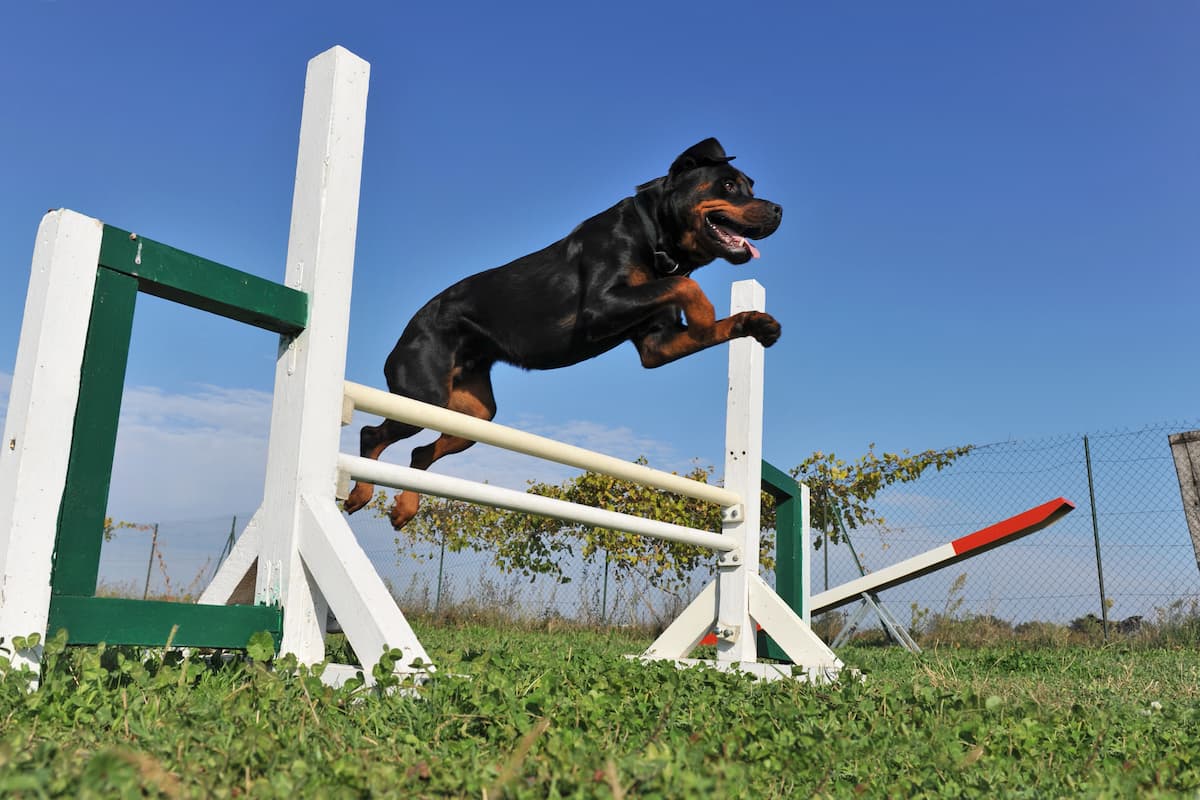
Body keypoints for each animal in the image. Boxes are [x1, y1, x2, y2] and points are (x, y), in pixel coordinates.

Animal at [343, 136, 782, 525]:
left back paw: (404, 508)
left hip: (474, 415)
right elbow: (687, 287)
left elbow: (698, 315)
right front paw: (706, 311)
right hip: (421, 396)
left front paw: (757, 322)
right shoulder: (601, 307)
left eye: (751, 186)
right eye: (729, 185)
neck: (653, 235)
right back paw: (360, 493)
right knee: (369, 434)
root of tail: (404, 336)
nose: (778, 209)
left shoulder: (657, 345)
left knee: (419, 454)